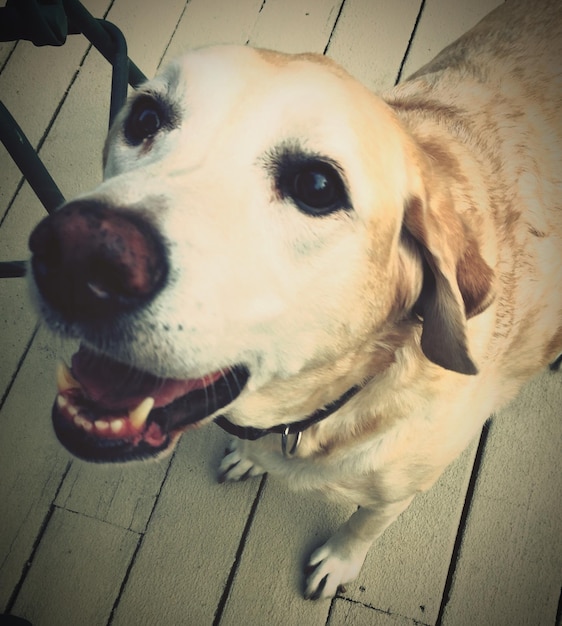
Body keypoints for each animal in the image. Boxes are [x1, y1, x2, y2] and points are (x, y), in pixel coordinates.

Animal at [27, 0, 560, 596]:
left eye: (318, 186)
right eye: (143, 118)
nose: (75, 256)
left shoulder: (400, 491)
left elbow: (365, 523)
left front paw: (341, 559)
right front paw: (248, 458)